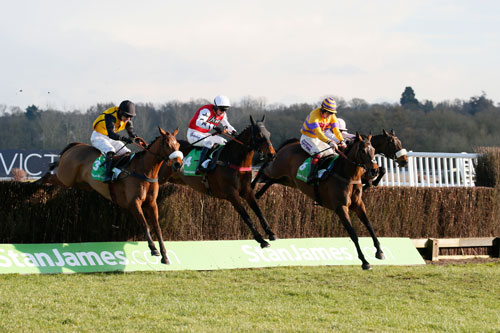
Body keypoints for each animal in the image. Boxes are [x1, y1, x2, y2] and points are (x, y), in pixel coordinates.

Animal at [41, 127, 182, 264]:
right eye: (167, 144)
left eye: (178, 145)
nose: (178, 164)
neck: (145, 170)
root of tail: (76, 145)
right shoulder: (133, 203)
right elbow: (144, 224)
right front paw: (153, 249)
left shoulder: (151, 203)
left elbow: (157, 228)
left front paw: (165, 256)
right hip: (66, 178)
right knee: (49, 175)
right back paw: (40, 184)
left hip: (81, 184)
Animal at [159, 115, 278, 248]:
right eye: (259, 135)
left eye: (268, 133)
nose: (272, 154)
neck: (234, 160)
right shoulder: (232, 194)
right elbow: (246, 216)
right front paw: (261, 240)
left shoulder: (247, 191)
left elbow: (258, 211)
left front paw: (271, 233)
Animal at [250, 132, 382, 270]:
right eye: (362, 150)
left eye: (373, 150)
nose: (375, 170)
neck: (347, 175)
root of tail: (290, 144)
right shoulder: (340, 207)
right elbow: (353, 233)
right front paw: (364, 261)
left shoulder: (359, 205)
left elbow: (369, 225)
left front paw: (379, 252)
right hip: (277, 168)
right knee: (265, 167)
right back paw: (252, 185)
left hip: (290, 180)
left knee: (272, 180)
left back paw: (259, 193)